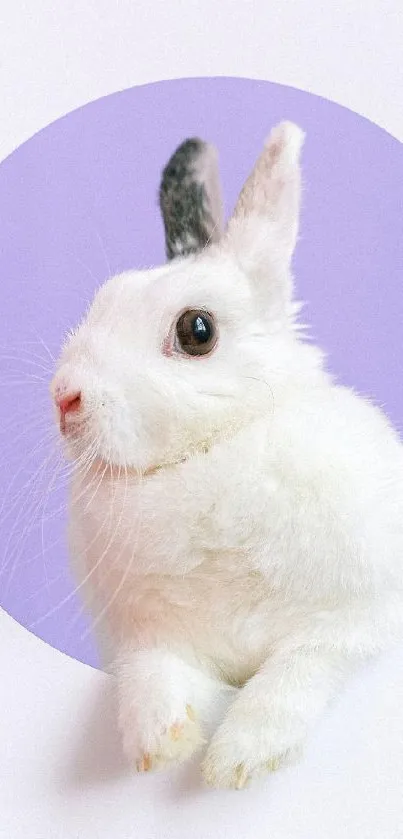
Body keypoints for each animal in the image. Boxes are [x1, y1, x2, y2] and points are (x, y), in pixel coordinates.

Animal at [52, 121, 403, 792]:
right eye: (104, 298)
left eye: (197, 330)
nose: (64, 397)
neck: (213, 452)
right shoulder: (149, 636)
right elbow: (153, 675)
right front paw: (159, 743)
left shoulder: (352, 623)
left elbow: (294, 676)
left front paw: (239, 758)